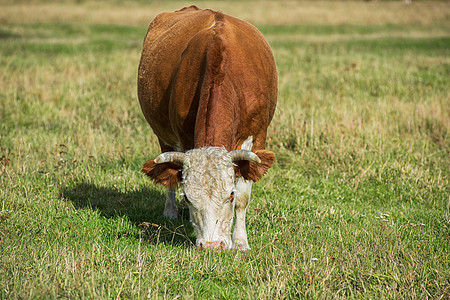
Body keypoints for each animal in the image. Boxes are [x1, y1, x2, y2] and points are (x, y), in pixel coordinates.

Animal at [137, 5, 278, 251]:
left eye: (229, 195)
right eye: (188, 198)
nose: (212, 246)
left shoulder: (257, 137)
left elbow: (244, 198)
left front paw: (240, 241)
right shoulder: (183, 137)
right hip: (163, 136)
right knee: (168, 176)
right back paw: (170, 211)